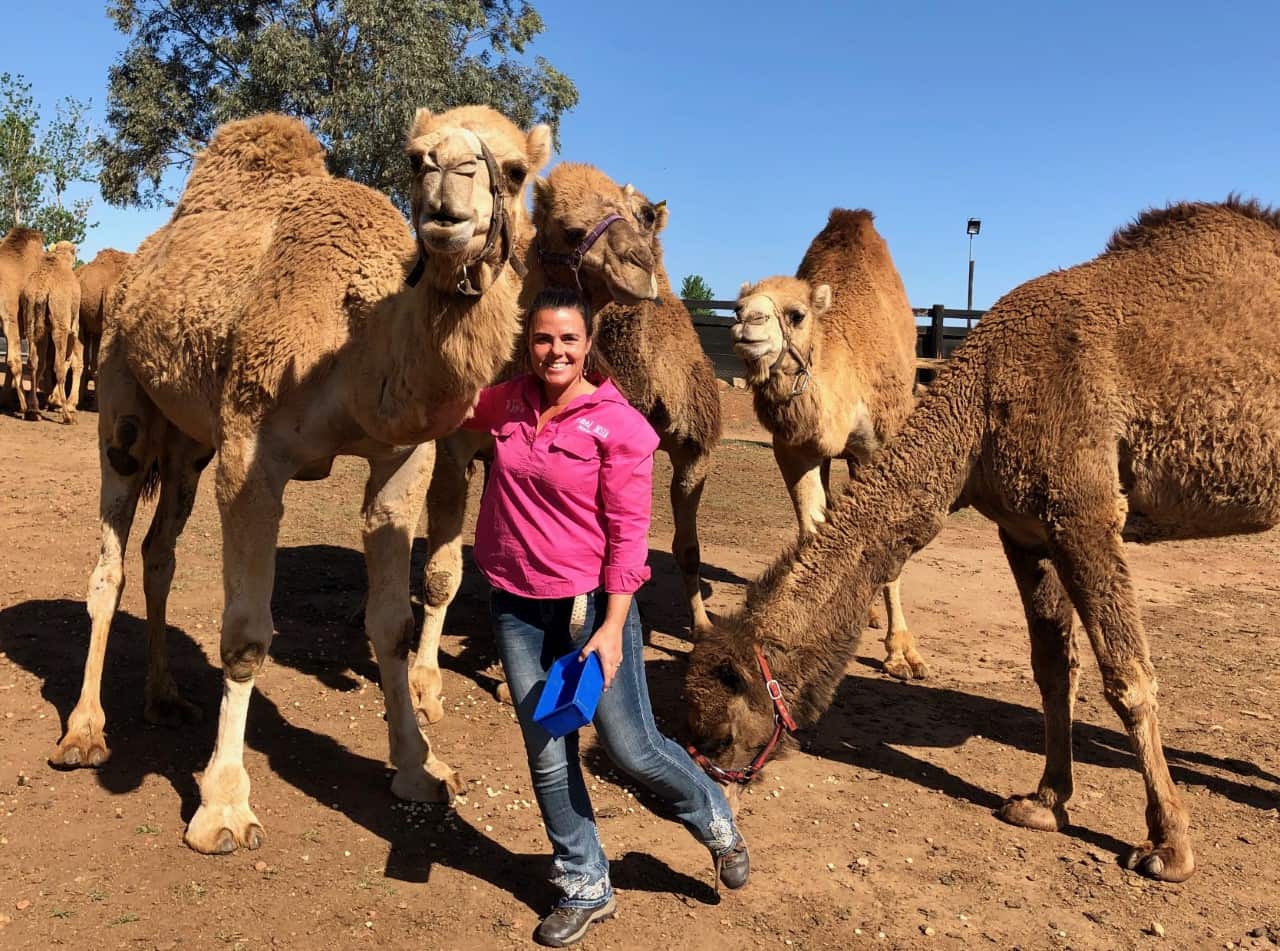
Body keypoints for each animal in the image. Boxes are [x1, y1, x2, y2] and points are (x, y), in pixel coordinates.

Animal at [19, 241, 82, 423]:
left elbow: (41, 364)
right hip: (59, 322)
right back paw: (67, 416)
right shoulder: (73, 325)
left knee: (33, 362)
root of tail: (42, 291)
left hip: (31, 319)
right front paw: (57, 402)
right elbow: (68, 359)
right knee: (58, 365)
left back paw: (33, 411)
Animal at [408, 162, 722, 725]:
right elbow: (442, 572)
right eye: (570, 230)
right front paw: (424, 686)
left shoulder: (693, 447)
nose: (639, 266)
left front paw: (702, 627)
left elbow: (681, 548)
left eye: (640, 217)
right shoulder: (455, 446)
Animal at [731, 209, 925, 679]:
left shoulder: (880, 445)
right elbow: (812, 527)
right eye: (738, 306)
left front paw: (902, 653)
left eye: (796, 314)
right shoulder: (795, 448)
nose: (747, 322)